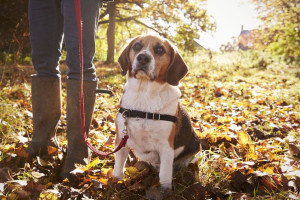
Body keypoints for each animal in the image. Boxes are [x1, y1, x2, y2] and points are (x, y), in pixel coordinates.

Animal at [113, 34, 200, 189]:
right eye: (137, 46)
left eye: (159, 49)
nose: (143, 58)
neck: (144, 94)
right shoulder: (121, 140)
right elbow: (118, 167)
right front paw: (115, 183)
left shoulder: (166, 147)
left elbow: (165, 175)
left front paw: (165, 191)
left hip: (196, 145)